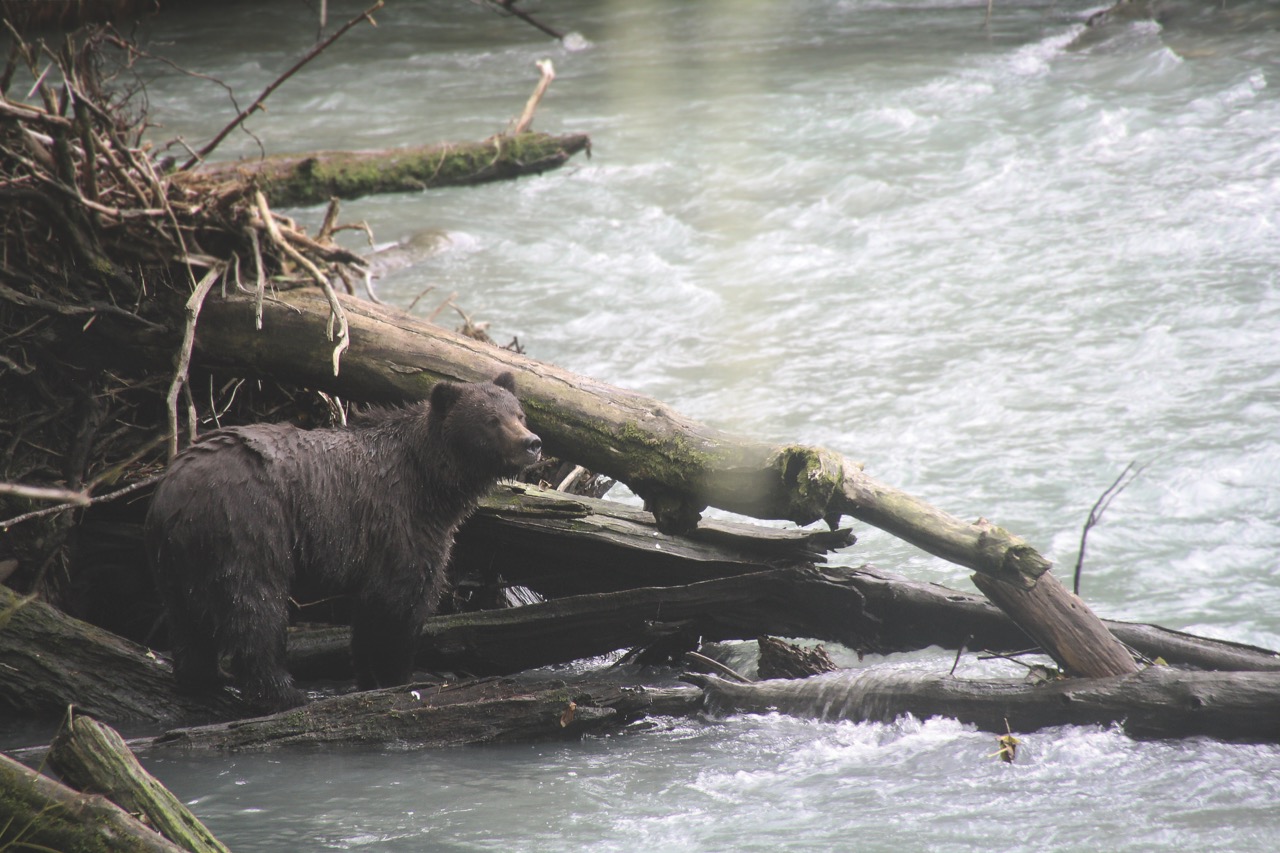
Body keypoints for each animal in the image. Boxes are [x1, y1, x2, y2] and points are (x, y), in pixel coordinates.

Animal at [144, 371, 540, 712]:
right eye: (491, 420)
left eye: (519, 413)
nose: (532, 443)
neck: (432, 484)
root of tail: (173, 486)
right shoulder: (400, 523)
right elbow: (401, 604)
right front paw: (401, 676)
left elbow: (370, 616)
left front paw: (370, 676)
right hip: (247, 526)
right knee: (254, 608)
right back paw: (285, 694)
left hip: (175, 558)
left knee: (186, 618)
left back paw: (203, 677)